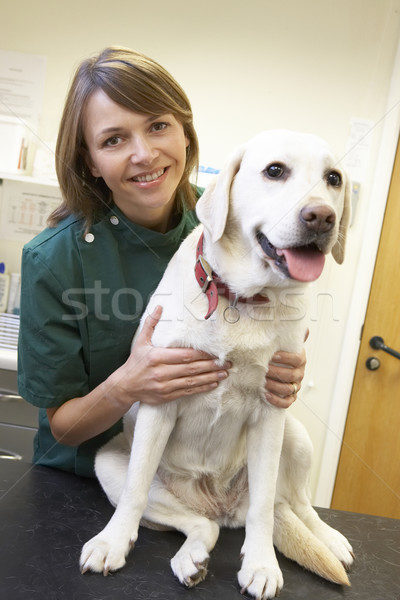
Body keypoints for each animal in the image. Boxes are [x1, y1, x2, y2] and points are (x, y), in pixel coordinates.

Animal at [80, 129, 354, 596]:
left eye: (333, 178)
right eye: (275, 170)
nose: (321, 218)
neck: (239, 299)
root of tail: (222, 506)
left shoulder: (271, 410)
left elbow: (263, 510)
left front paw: (261, 564)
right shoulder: (159, 400)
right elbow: (136, 490)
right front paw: (111, 543)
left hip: (295, 435)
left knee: (293, 505)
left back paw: (328, 539)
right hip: (110, 465)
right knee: (198, 524)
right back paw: (190, 557)